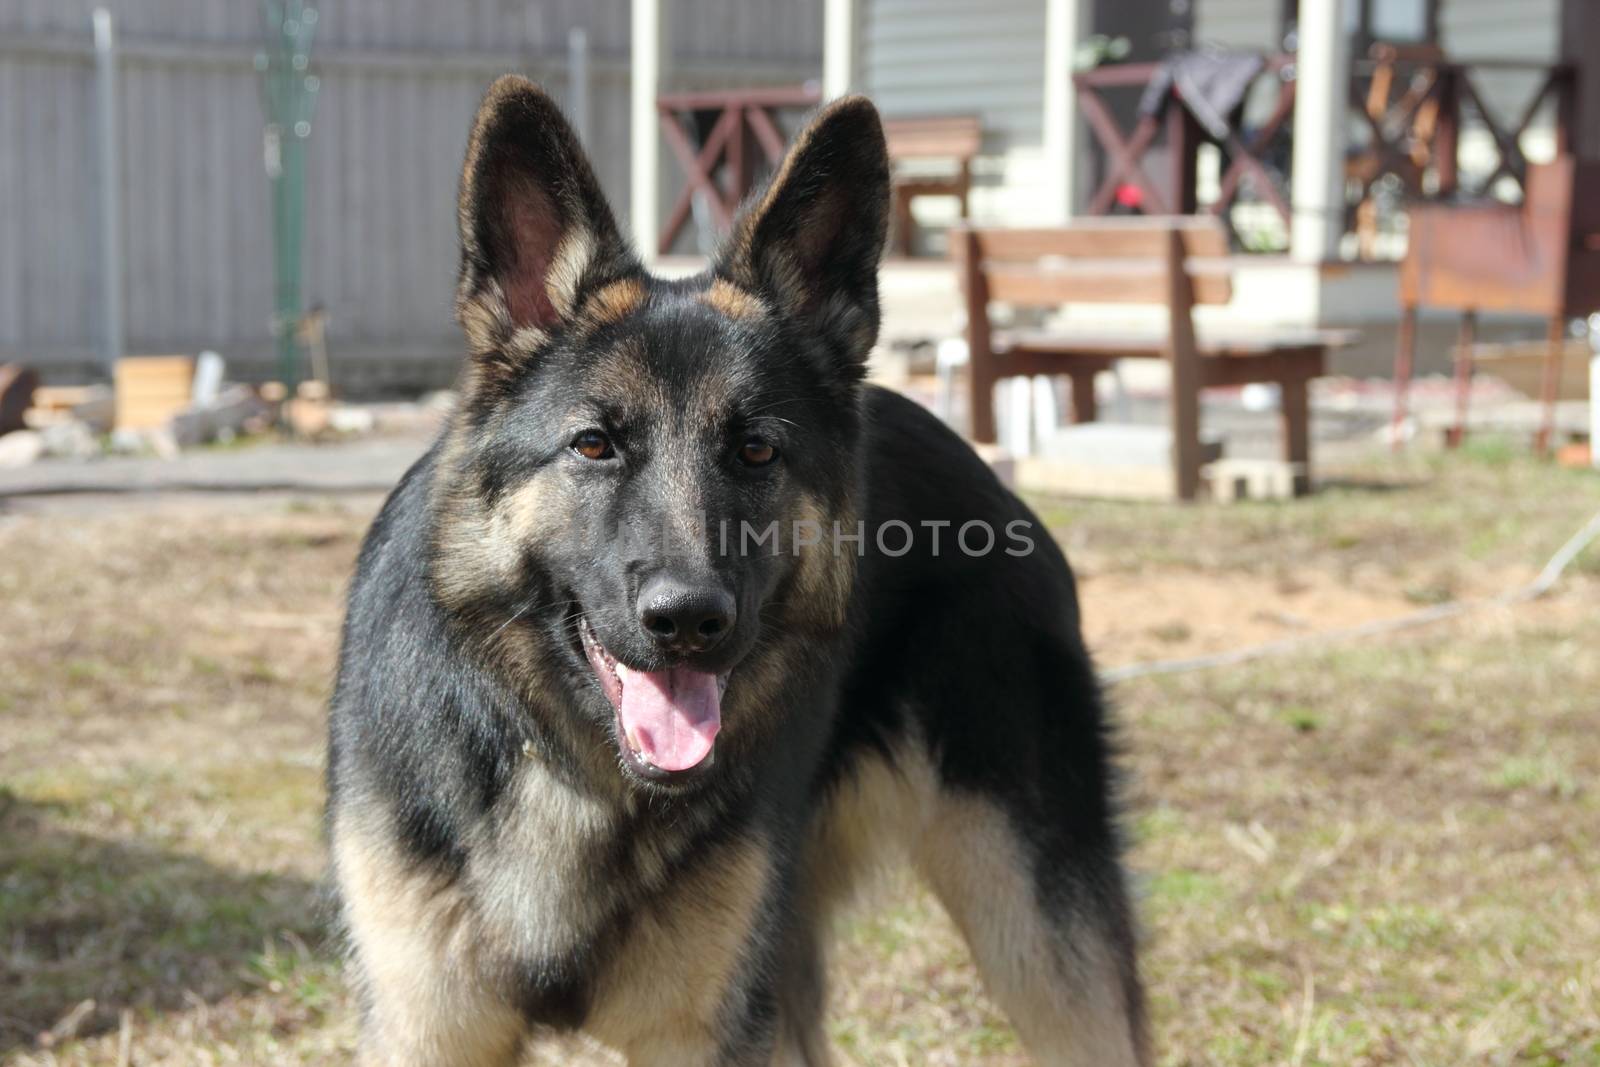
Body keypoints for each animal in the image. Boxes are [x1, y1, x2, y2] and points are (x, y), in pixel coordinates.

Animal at [328, 77, 1152, 1067]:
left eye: (756, 450)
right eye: (594, 444)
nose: (688, 619)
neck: (571, 773)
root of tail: (991, 475)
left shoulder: (705, 1034)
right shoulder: (426, 1029)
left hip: (1038, 942)